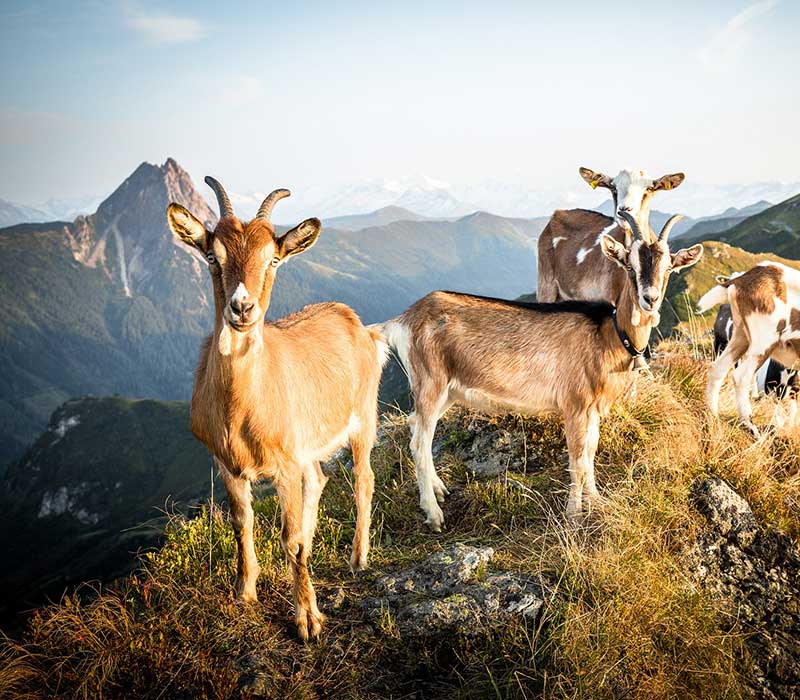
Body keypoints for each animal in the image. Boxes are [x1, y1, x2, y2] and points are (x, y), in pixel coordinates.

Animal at [166, 179, 388, 640]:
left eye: (273, 260)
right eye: (213, 257)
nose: (242, 308)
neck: (241, 408)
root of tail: (358, 324)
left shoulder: (285, 466)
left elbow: (290, 539)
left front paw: (308, 620)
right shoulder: (227, 465)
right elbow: (242, 523)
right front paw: (244, 592)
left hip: (363, 418)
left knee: (364, 479)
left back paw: (358, 557)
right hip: (309, 448)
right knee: (319, 480)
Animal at [384, 211, 704, 528]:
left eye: (669, 267)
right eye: (629, 265)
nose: (650, 299)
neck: (608, 335)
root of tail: (403, 320)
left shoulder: (593, 409)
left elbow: (590, 452)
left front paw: (596, 501)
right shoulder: (574, 404)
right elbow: (577, 460)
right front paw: (573, 515)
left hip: (448, 391)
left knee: (417, 430)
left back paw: (439, 488)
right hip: (431, 383)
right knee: (419, 442)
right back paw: (434, 514)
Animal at [696, 262, 796, 438]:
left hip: (743, 339)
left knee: (720, 369)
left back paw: (713, 415)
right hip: (760, 341)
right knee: (740, 376)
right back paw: (751, 427)